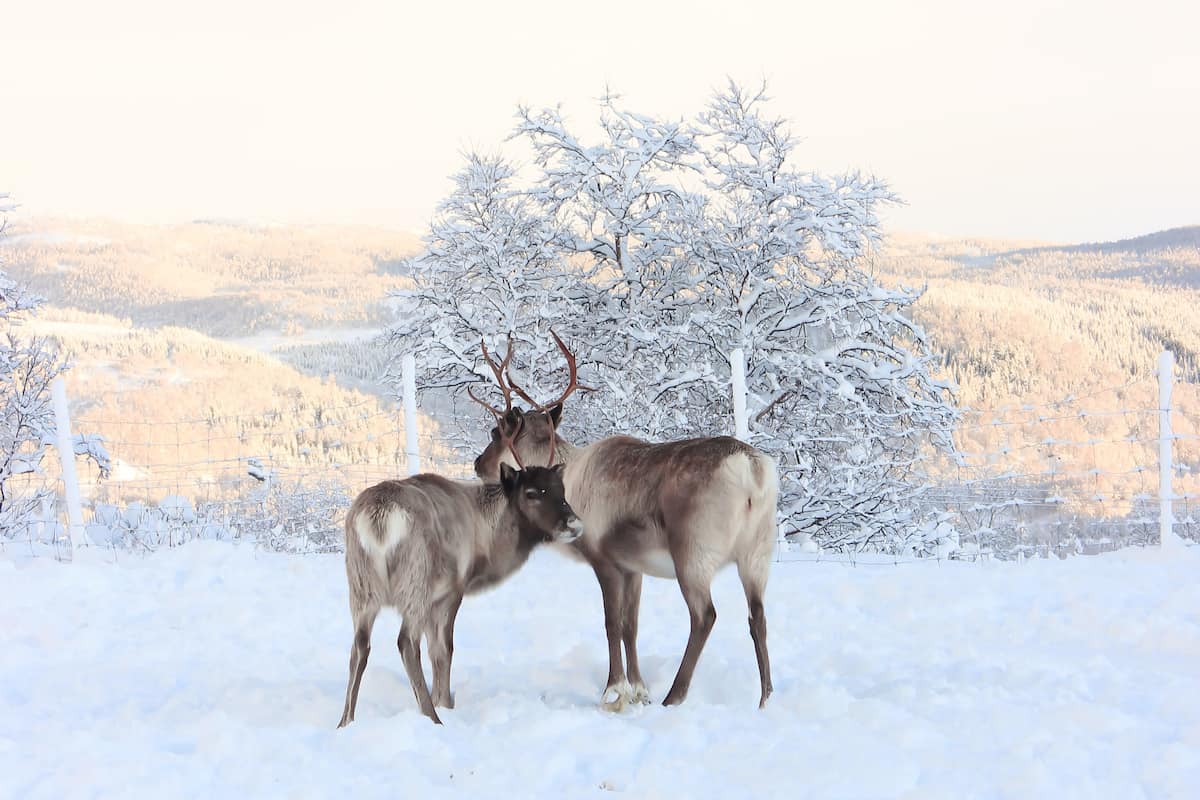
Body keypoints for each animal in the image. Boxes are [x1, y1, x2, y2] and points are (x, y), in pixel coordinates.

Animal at [337, 457, 582, 727]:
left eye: (562, 490)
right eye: (531, 493)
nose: (574, 523)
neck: (487, 543)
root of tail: (379, 519)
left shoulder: (434, 601)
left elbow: (434, 651)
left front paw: (440, 700)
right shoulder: (450, 593)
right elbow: (444, 650)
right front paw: (443, 703)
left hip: (361, 588)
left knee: (359, 646)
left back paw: (345, 721)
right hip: (416, 582)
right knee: (406, 642)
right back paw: (432, 718)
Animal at [470, 333, 778, 712]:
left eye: (495, 432)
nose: (478, 463)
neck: (569, 477)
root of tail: (754, 472)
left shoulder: (604, 559)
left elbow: (611, 623)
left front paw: (614, 690)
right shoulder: (634, 568)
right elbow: (631, 625)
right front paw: (639, 691)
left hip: (693, 552)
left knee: (705, 615)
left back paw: (674, 696)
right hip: (757, 552)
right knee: (758, 615)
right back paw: (765, 698)